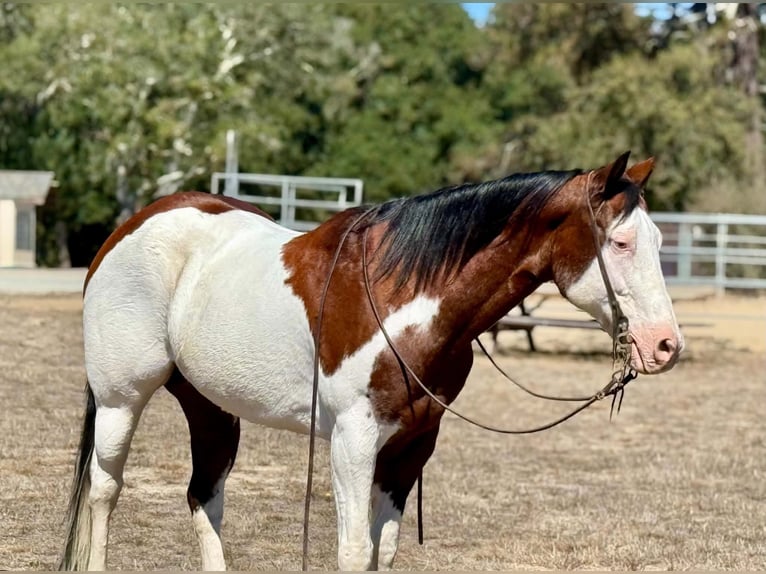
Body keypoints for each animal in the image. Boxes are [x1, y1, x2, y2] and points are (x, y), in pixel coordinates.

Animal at [59, 151, 683, 571]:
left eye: (657, 241)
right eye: (621, 243)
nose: (665, 345)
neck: (404, 298)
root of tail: (129, 227)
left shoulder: (411, 447)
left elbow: (384, 553)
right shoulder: (353, 441)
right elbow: (355, 551)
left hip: (211, 408)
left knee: (203, 496)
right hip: (120, 401)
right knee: (104, 491)